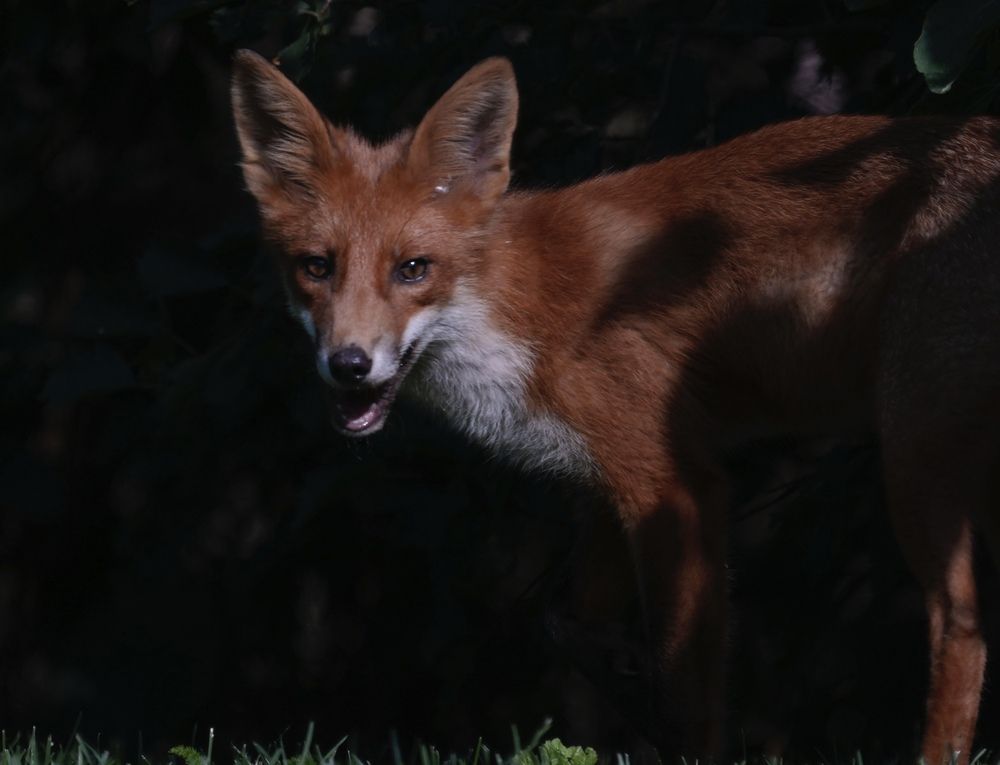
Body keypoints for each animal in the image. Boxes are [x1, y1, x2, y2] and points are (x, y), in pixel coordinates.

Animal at [230, 49, 1000, 762]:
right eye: (316, 267)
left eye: (413, 269)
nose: (348, 364)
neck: (511, 310)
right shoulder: (604, 481)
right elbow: (562, 619)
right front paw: (620, 673)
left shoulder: (672, 484)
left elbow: (685, 683)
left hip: (912, 453)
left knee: (960, 621)